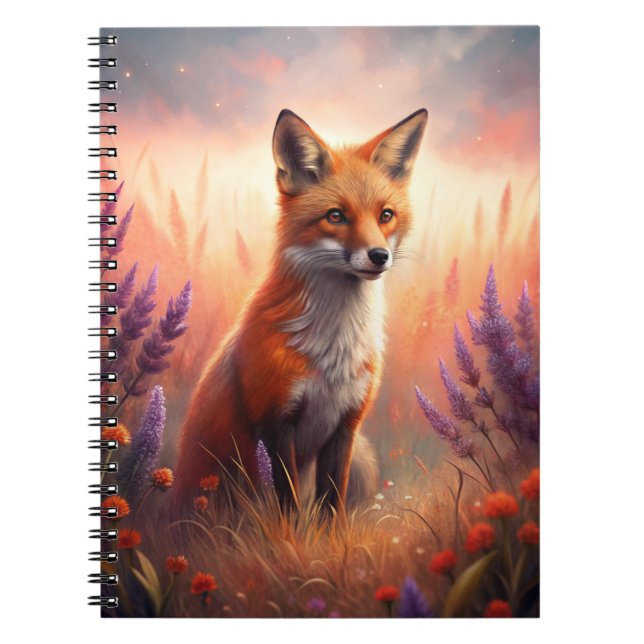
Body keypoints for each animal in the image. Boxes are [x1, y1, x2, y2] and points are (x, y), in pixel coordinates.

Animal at [174, 107, 428, 512]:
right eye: (336, 216)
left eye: (385, 215)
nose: (379, 256)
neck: (334, 352)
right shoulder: (275, 421)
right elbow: (289, 504)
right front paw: (292, 530)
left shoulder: (346, 425)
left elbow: (331, 505)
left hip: (363, 457)